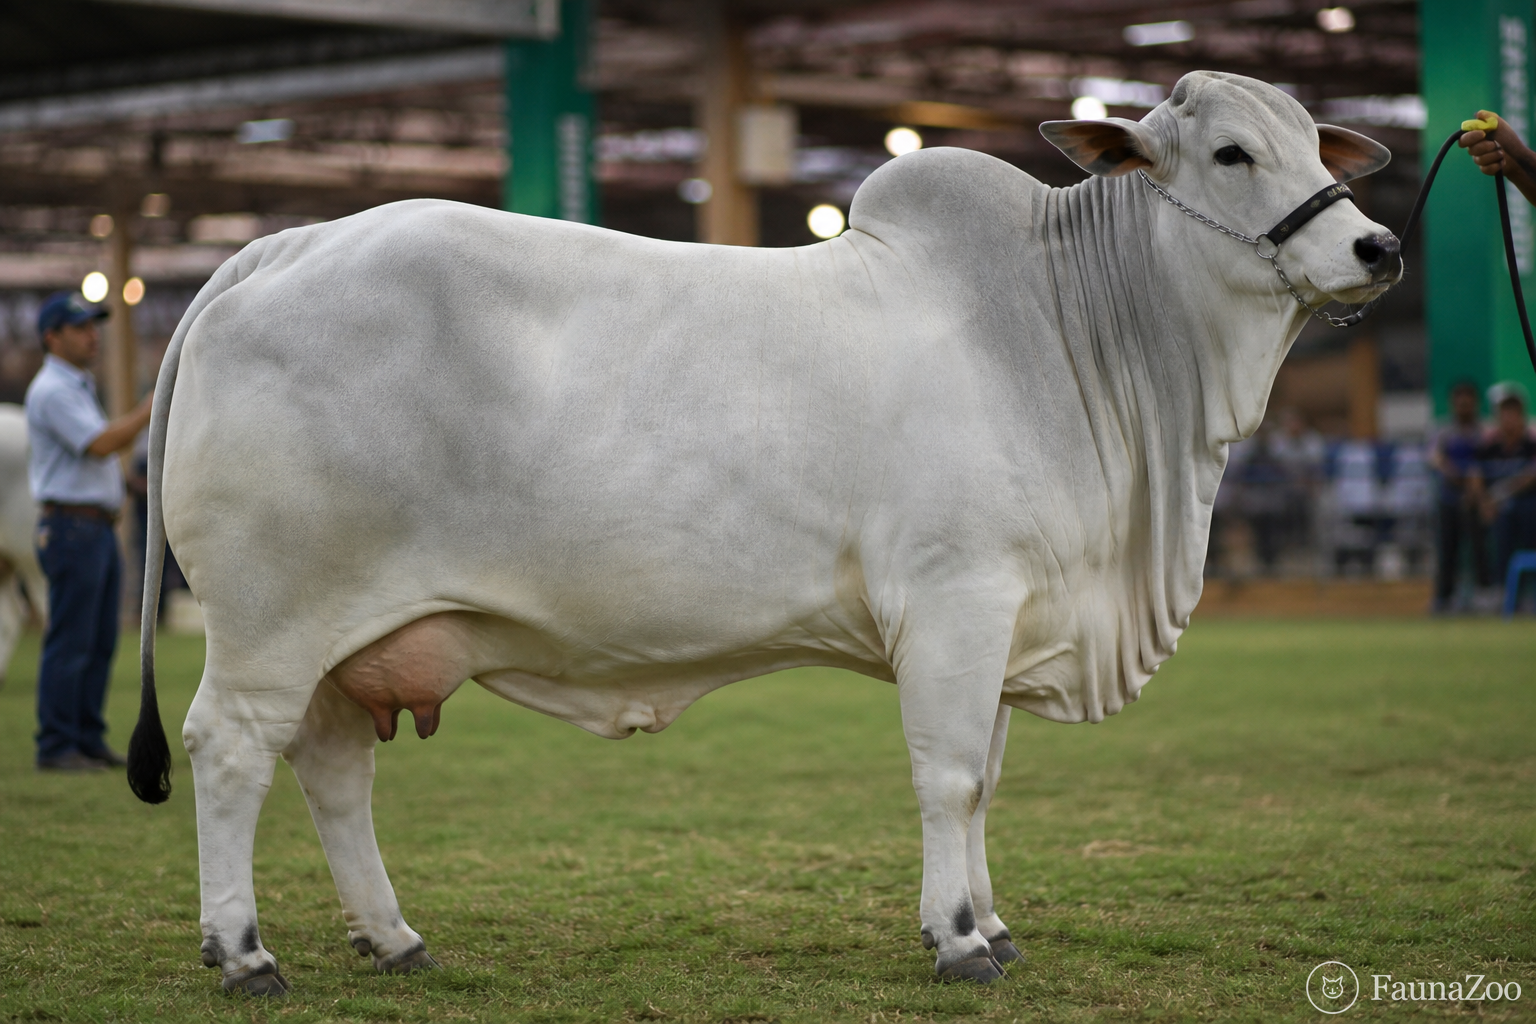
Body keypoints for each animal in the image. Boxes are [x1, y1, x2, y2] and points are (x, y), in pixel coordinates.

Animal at [127, 71, 1397, 994]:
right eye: (1231, 153)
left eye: (1314, 143)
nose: (1377, 248)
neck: (1062, 331)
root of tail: (277, 247)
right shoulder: (956, 600)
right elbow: (948, 778)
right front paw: (957, 937)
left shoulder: (1007, 616)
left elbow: (986, 781)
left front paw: (993, 921)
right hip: (270, 619)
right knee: (231, 750)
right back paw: (244, 953)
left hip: (350, 632)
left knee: (334, 769)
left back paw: (392, 937)